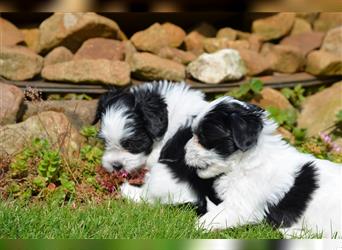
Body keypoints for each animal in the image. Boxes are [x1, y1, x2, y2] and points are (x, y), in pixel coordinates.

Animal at [184, 95, 342, 238]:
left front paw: (196, 227)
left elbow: (212, 217)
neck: (246, 161)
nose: (184, 150)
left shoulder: (240, 205)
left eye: (202, 138)